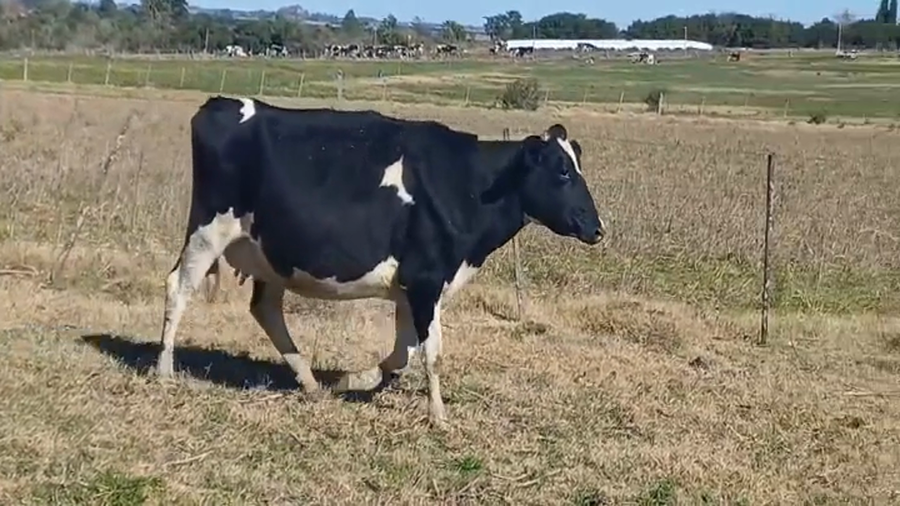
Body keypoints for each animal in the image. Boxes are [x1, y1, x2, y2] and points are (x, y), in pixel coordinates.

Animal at [156, 96, 605, 428]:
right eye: (563, 172)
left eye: (576, 167)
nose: (597, 228)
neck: (466, 184)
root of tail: (221, 103)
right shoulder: (426, 280)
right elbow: (432, 353)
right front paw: (438, 416)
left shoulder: (411, 288)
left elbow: (405, 352)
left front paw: (352, 380)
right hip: (207, 231)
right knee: (178, 288)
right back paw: (164, 371)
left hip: (270, 253)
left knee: (265, 309)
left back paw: (309, 381)